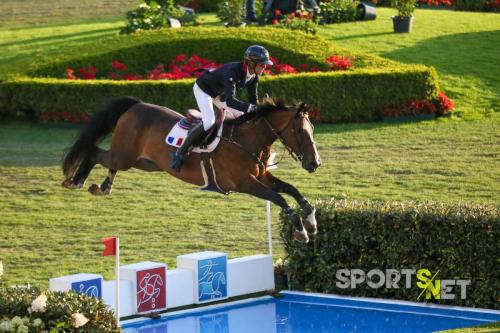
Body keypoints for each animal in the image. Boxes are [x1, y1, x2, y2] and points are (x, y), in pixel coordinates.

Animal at [61, 96, 320, 241]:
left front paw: (311, 219)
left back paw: (103, 186)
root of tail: (136, 106)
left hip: (144, 163)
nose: (314, 163)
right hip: (125, 156)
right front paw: (301, 231)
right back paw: (76, 181)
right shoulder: (244, 183)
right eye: (299, 131)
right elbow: (279, 198)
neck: (247, 140)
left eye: (312, 129)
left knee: (107, 160)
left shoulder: (262, 176)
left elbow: (291, 189)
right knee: (96, 152)